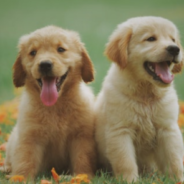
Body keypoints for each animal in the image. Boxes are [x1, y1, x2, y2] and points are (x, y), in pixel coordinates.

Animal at [1, 26, 96, 179]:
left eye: (61, 49)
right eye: (33, 53)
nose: (45, 65)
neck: (55, 106)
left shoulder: (81, 137)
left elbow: (83, 159)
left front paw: (83, 176)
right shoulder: (29, 137)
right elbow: (25, 160)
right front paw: (20, 178)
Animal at [95, 16, 184, 183]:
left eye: (173, 39)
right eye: (151, 39)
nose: (175, 49)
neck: (146, 95)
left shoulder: (167, 129)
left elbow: (174, 159)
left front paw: (178, 179)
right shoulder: (120, 131)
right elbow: (126, 161)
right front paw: (130, 180)